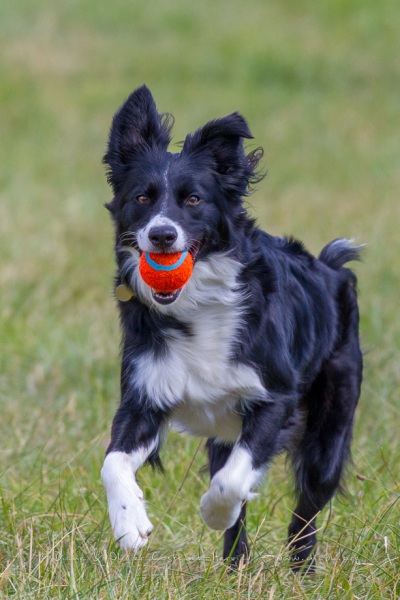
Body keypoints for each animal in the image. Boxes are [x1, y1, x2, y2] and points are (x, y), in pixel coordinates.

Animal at [101, 86, 362, 568]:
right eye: (142, 198)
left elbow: (231, 482)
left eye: (193, 200)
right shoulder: (145, 395)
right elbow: (113, 462)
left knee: (307, 507)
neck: (196, 303)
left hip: (330, 422)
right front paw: (130, 525)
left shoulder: (275, 398)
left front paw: (213, 511)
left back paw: (301, 569)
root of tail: (330, 270)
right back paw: (233, 567)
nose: (162, 236)